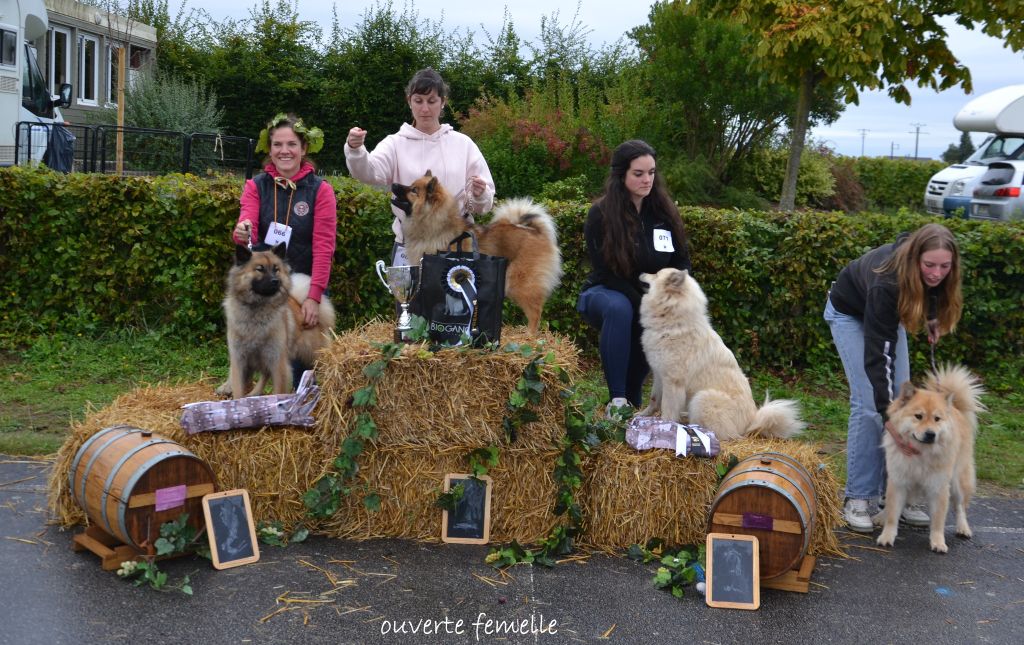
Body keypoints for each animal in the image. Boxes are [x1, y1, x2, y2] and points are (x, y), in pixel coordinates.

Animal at [216, 244, 335, 401]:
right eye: (260, 269)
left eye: (276, 269)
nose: (275, 281)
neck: (257, 311)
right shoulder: (240, 361)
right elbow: (239, 391)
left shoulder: (277, 361)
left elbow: (278, 390)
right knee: (265, 375)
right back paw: (254, 393)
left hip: (315, 354)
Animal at [391, 168, 565, 335]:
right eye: (411, 185)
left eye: (413, 190)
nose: (394, 184)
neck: (434, 226)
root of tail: (535, 231)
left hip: (521, 283)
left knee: (536, 311)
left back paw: (530, 336)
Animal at [634, 268, 802, 444]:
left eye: (655, 274)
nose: (640, 272)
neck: (673, 322)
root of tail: (751, 422)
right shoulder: (659, 375)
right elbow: (654, 399)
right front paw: (643, 415)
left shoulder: (672, 382)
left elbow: (667, 408)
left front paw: (665, 426)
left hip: (703, 398)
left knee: (721, 433)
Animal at [872, 366, 983, 552]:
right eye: (918, 416)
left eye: (937, 419)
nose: (931, 434)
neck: (920, 454)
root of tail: (955, 408)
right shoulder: (898, 482)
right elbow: (892, 514)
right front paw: (887, 536)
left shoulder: (939, 487)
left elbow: (938, 521)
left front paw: (938, 542)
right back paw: (882, 515)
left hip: (957, 481)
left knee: (960, 506)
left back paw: (963, 528)